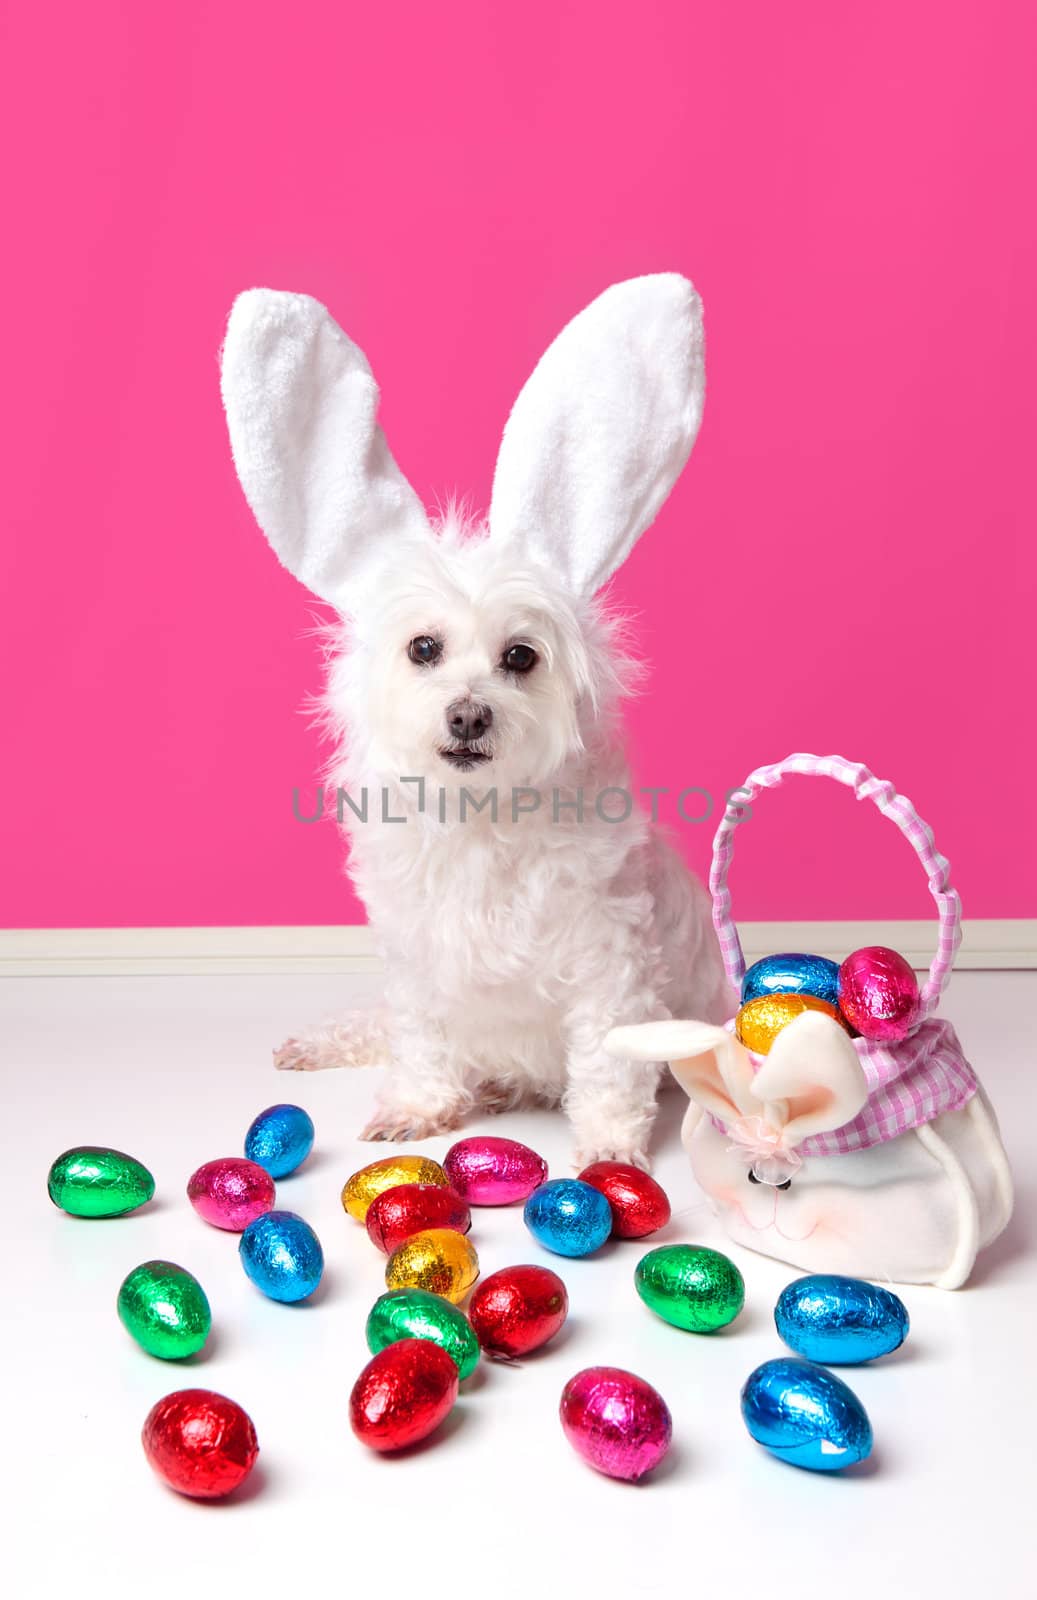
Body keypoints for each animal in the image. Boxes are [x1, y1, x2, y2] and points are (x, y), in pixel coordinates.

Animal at [219, 275, 729, 1164]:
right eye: (423, 648)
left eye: (519, 657)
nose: (466, 715)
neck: (480, 823)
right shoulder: (418, 967)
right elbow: (420, 1041)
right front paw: (418, 1107)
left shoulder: (610, 967)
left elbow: (607, 1063)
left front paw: (608, 1149)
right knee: (377, 1025)